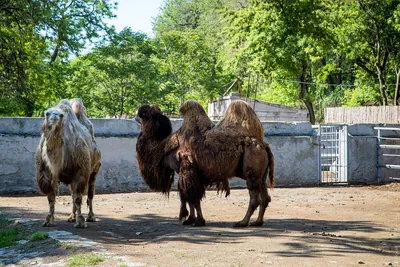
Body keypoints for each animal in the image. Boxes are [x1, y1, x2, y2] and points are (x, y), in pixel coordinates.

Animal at [36, 99, 101, 229]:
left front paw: (81, 222)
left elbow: (78, 197)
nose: (54, 117)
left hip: (94, 169)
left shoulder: (81, 172)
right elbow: (51, 197)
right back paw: (71, 217)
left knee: (90, 193)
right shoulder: (46, 174)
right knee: (72, 194)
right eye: (47, 113)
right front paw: (48, 220)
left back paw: (91, 217)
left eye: (61, 115)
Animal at [136, 100, 274, 228]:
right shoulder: (192, 173)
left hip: (252, 169)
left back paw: (242, 222)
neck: (164, 146)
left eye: (143, 113)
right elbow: (189, 197)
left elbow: (192, 196)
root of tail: (264, 145)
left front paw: (198, 221)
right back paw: (257, 222)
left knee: (255, 198)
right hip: (261, 174)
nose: (136, 117)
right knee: (265, 196)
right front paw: (190, 219)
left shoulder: (186, 168)